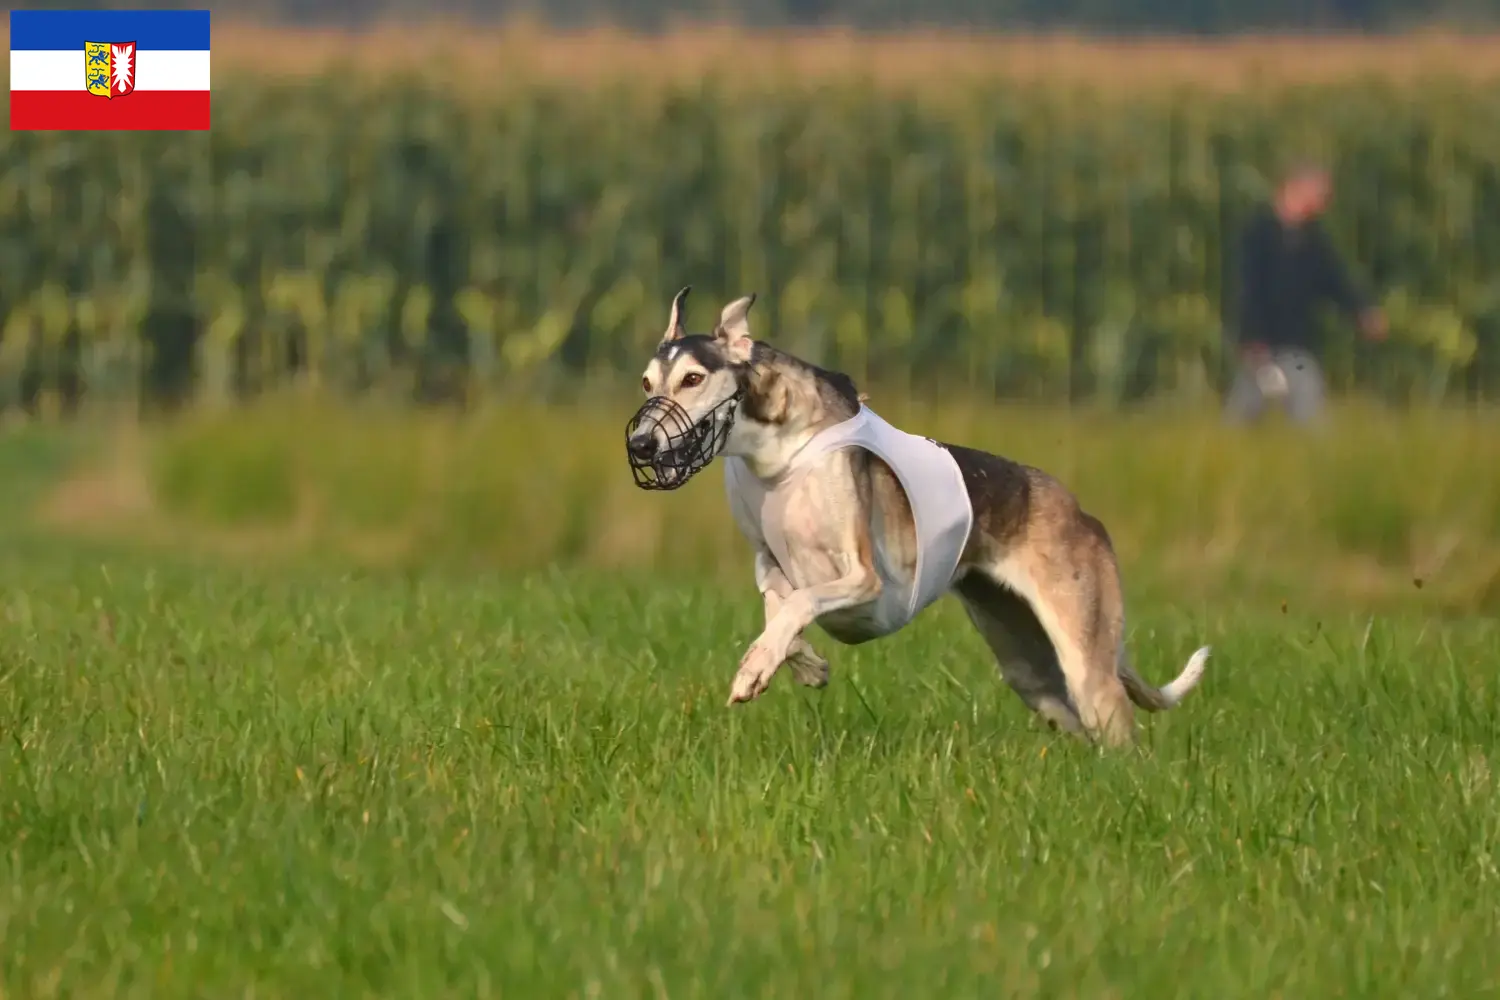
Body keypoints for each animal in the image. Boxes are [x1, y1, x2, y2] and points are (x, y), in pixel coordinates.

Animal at [624, 284, 1206, 746]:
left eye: (694, 379)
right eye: (647, 383)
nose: (640, 444)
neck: (778, 451)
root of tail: (1081, 511)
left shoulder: (864, 577)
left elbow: (801, 602)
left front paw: (755, 668)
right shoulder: (769, 559)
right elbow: (777, 604)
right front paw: (801, 663)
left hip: (1085, 659)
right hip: (1028, 665)